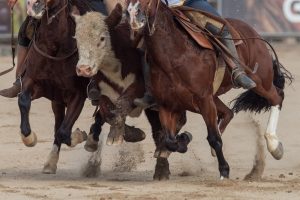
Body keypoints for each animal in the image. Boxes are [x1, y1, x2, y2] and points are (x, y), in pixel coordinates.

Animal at [125, 0, 292, 178]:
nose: (133, 15)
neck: (175, 56)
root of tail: (254, 34)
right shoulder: (166, 104)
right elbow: (170, 141)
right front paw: (183, 140)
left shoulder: (204, 99)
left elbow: (213, 138)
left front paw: (224, 171)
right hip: (209, 98)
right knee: (228, 112)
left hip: (261, 81)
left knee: (277, 97)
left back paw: (274, 146)